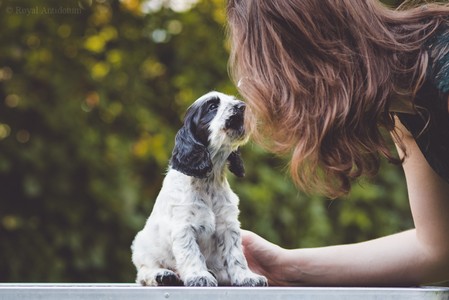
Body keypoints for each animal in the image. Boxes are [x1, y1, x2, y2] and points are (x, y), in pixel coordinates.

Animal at [131, 91, 268, 286]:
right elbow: (191, 253)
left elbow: (236, 255)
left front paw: (246, 277)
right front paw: (200, 276)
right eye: (212, 107)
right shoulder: (184, 227)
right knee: (143, 272)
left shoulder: (229, 226)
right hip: (142, 247)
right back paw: (163, 275)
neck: (209, 180)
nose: (242, 106)